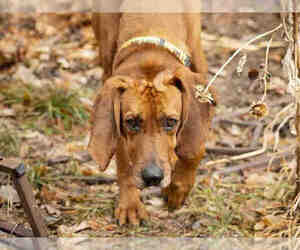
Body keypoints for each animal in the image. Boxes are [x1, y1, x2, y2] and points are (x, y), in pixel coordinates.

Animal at [89, 0, 216, 227]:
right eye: (131, 122)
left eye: (171, 121)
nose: (152, 177)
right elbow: (124, 163)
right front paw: (130, 204)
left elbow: (195, 147)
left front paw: (178, 187)